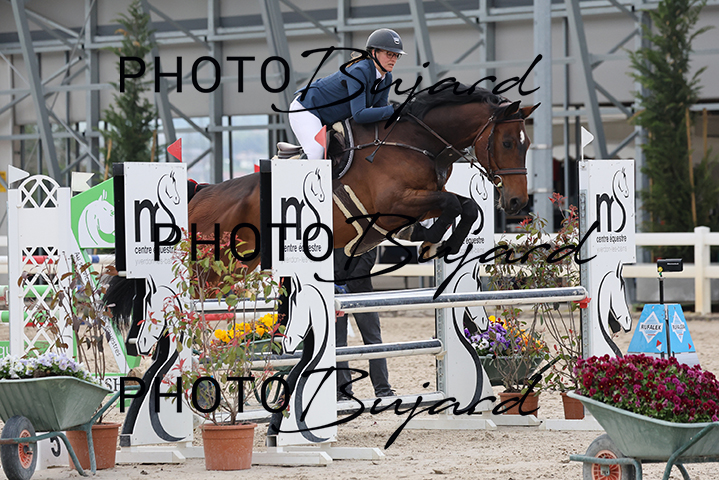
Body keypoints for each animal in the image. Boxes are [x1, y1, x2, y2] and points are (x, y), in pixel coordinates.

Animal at [188, 86, 538, 269]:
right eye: (507, 143)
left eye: (527, 145)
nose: (517, 201)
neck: (417, 142)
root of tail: (201, 196)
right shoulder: (395, 202)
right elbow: (453, 203)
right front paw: (430, 242)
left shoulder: (422, 200)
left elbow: (465, 206)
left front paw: (437, 243)